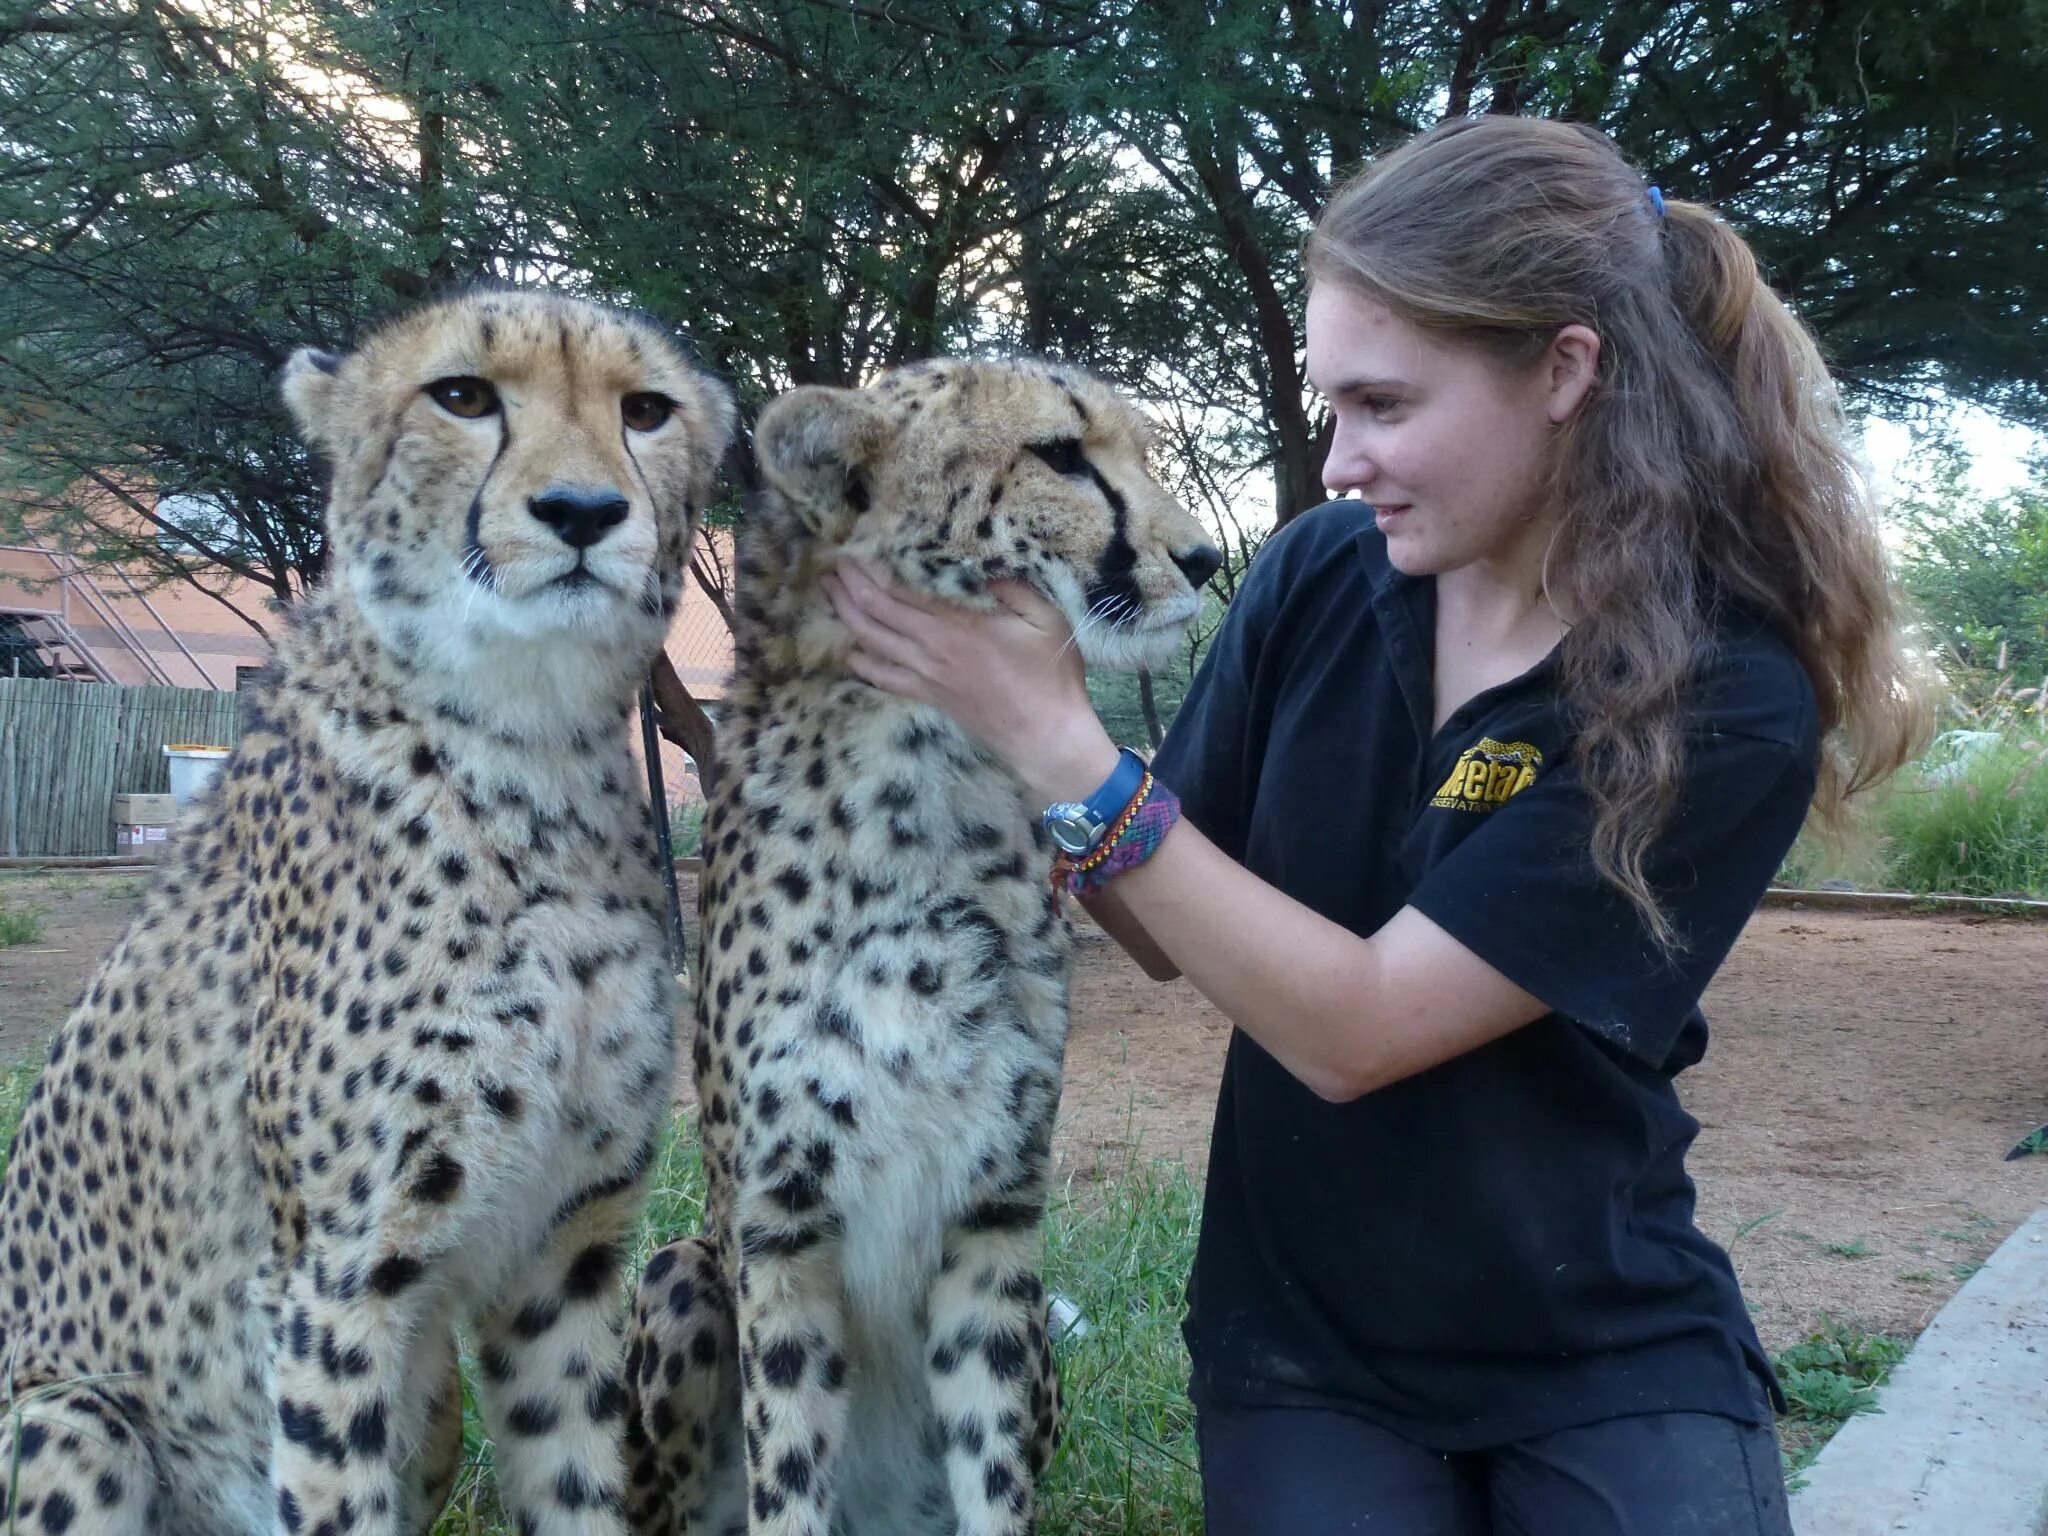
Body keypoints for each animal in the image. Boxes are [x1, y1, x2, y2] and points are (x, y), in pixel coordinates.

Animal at [0, 290, 737, 1536]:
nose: (583, 511)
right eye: (462, 396)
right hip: (74, 1416)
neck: (531, 749)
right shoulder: (333, 1282)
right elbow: (337, 1493)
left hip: (432, 1397)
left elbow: (576, 1479)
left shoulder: (564, 1254)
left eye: (646, 410)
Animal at [622, 364, 1220, 1536]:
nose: (1206, 559)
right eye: (1060, 454)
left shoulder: (996, 1219)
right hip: (683, 1269)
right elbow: (788, 1477)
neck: (926, 776)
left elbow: (991, 1470)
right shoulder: (781, 1232)